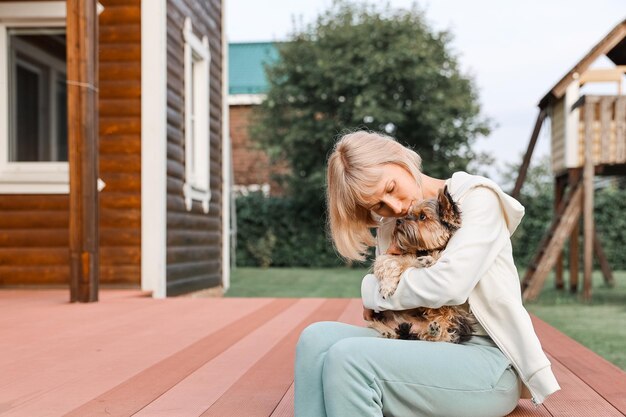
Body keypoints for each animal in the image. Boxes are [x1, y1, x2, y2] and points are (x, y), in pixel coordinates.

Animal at [366, 187, 472, 342]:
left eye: (422, 216)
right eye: (409, 214)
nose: (399, 221)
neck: (423, 250)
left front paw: (428, 261)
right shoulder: (391, 258)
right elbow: (389, 262)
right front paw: (387, 287)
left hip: (451, 313)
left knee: (444, 330)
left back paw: (434, 330)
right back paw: (388, 332)